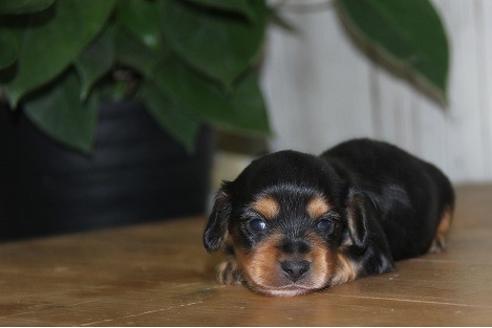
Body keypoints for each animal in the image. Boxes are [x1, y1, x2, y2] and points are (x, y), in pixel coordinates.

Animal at [203, 138, 454, 298]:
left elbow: (347, 256)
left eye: (324, 223)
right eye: (257, 224)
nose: (295, 268)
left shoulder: (375, 251)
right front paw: (233, 265)